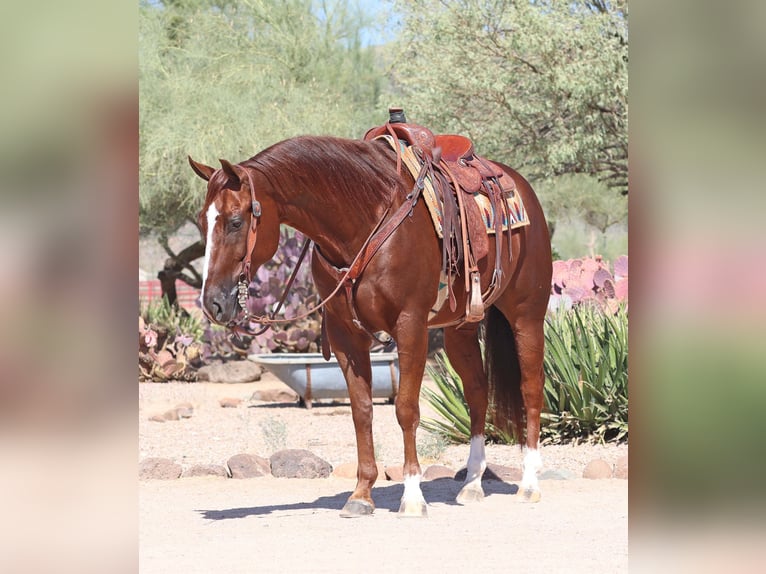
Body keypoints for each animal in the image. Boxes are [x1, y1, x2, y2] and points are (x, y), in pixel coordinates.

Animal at [190, 128, 552, 520]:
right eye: (201, 221)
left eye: (235, 221)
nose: (213, 303)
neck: (365, 220)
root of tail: (520, 187)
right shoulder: (345, 335)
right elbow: (361, 411)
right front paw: (362, 494)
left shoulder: (410, 326)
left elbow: (406, 409)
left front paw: (413, 496)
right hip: (462, 328)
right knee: (477, 392)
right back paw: (471, 484)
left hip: (527, 316)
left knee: (531, 388)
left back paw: (529, 485)